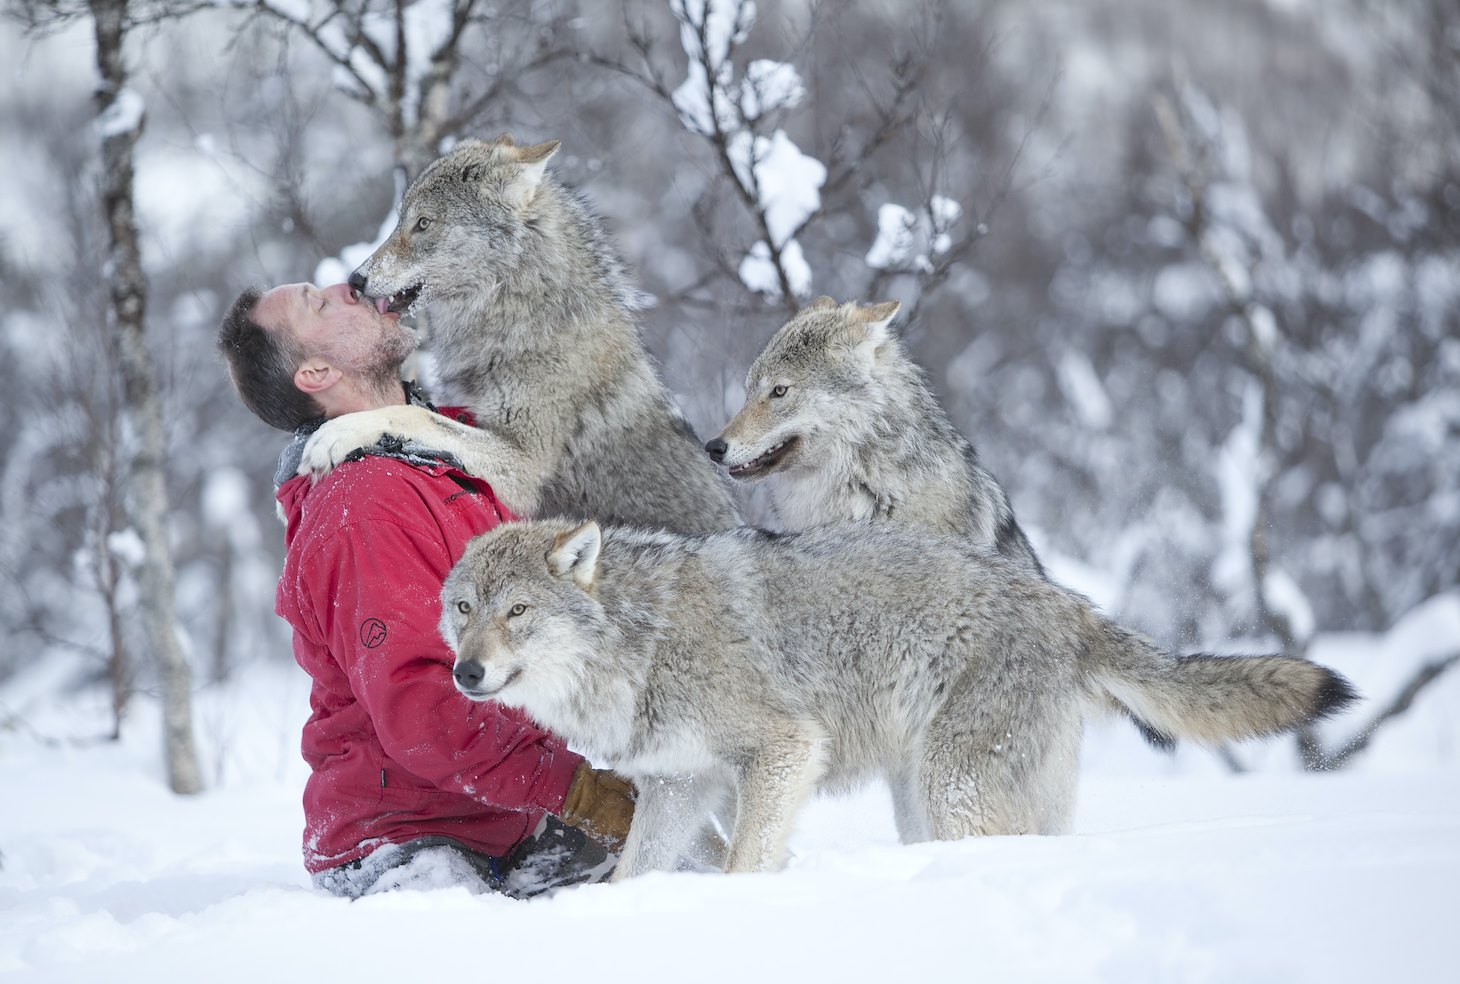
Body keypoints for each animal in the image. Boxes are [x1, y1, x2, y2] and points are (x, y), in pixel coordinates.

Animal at [298, 134, 740, 534]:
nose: (355, 279)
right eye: (401, 221)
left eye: (422, 223)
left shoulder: (523, 466)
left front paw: (335, 433)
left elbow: (413, 414)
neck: (523, 314)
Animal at [439, 518, 1357, 877]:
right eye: (464, 609)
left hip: (953, 789)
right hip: (926, 802)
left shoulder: (784, 750)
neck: (643, 642)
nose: (465, 675)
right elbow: (635, 872)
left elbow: (743, 864)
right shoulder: (676, 786)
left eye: (517, 612)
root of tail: (1067, 602)